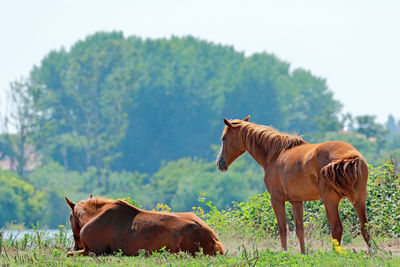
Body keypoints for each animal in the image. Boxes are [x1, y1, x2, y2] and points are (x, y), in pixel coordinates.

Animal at [64, 197, 223, 258]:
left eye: (70, 218)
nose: (76, 245)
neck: (93, 216)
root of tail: (212, 239)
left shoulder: (94, 251)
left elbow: (68, 254)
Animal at [217, 116, 370, 254]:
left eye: (224, 138)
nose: (220, 163)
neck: (275, 154)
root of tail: (349, 155)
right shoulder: (296, 201)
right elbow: (300, 230)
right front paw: (303, 254)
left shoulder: (277, 200)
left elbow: (282, 230)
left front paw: (284, 253)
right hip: (359, 198)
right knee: (365, 227)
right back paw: (371, 252)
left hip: (330, 201)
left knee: (337, 228)